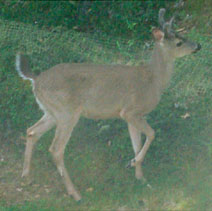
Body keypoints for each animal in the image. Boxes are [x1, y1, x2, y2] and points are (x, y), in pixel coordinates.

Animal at [14, 8, 200, 201]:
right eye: (179, 42)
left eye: (182, 35)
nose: (198, 46)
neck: (153, 80)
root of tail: (36, 80)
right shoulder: (130, 111)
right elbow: (152, 134)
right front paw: (133, 164)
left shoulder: (132, 116)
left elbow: (136, 144)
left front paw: (140, 177)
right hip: (67, 111)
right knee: (56, 148)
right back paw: (75, 193)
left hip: (51, 111)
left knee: (31, 131)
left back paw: (26, 176)